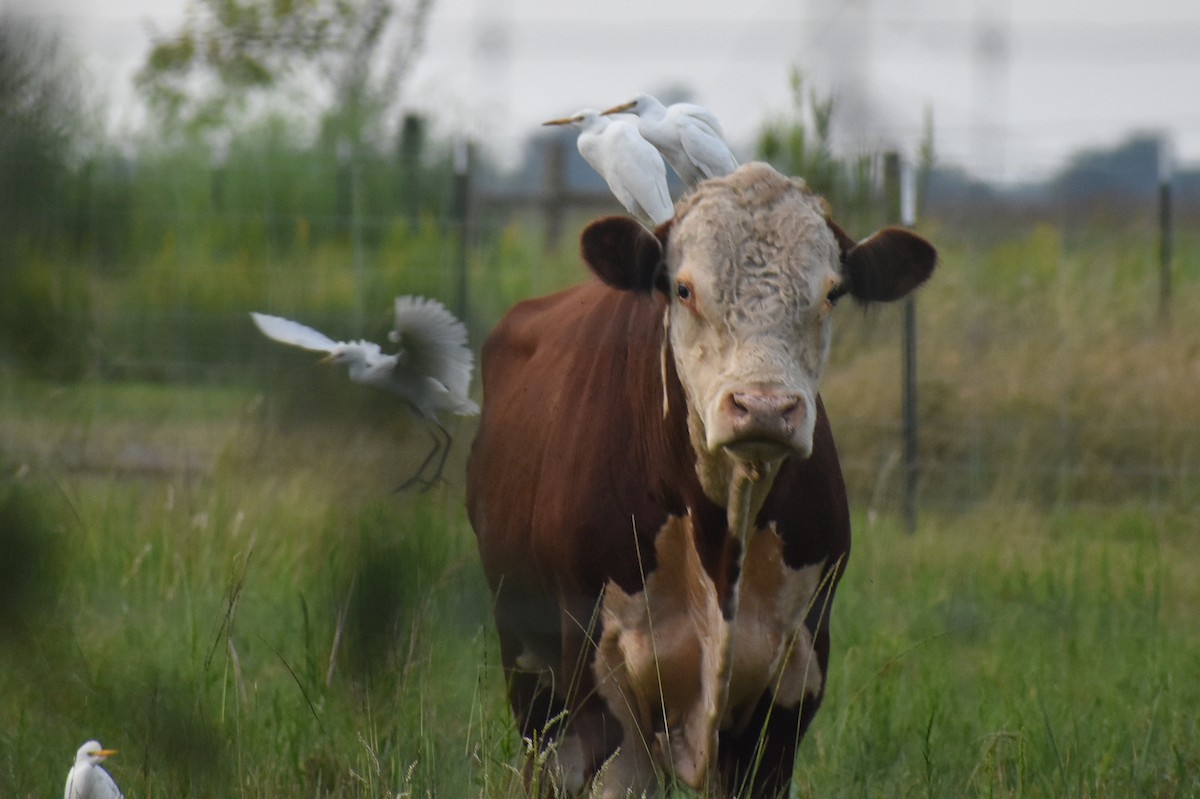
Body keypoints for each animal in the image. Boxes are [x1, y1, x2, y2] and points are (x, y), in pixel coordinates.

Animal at [468, 158, 936, 791]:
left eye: (832, 292)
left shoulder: (792, 685)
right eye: (684, 289)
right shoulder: (601, 684)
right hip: (529, 669)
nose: (764, 407)